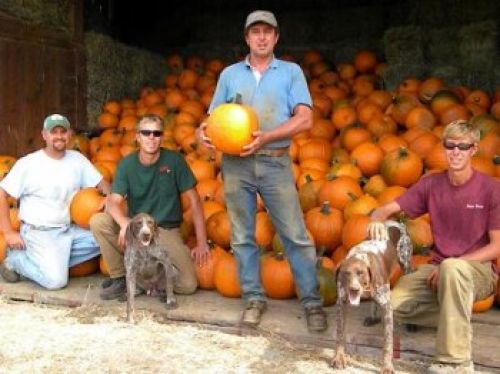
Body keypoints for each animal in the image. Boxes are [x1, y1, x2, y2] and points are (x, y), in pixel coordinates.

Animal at [332, 221, 410, 372]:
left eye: (361, 273)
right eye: (346, 273)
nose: (354, 289)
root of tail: (394, 221)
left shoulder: (387, 308)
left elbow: (388, 342)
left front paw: (387, 366)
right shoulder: (341, 304)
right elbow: (339, 334)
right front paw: (339, 357)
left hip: (406, 264)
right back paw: (372, 317)